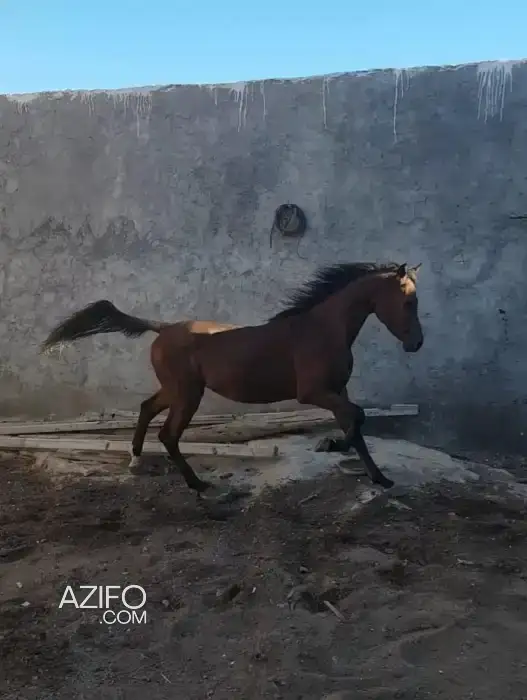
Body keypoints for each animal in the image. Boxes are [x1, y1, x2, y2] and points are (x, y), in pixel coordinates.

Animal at [41, 261, 424, 501]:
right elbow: (357, 418)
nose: (417, 344)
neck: (324, 329)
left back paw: (136, 461)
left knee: (147, 408)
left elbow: (355, 425)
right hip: (188, 394)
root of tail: (162, 328)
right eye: (409, 302)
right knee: (168, 435)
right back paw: (198, 484)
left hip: (176, 390)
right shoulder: (314, 393)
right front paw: (334, 447)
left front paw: (377, 476)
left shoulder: (336, 390)